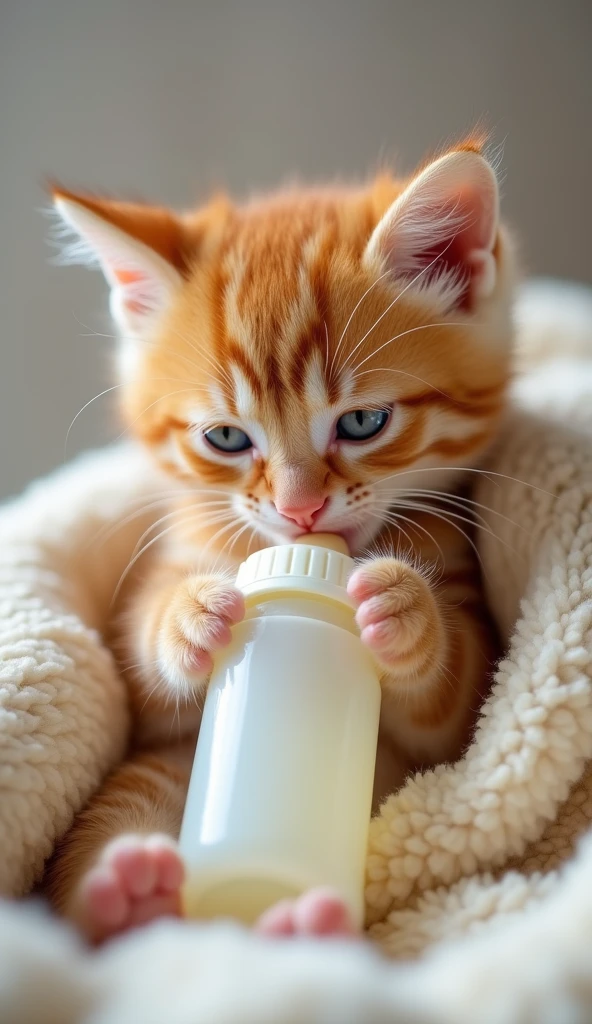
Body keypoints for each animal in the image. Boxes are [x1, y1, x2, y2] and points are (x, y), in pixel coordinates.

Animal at [43, 140, 510, 937]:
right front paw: (189, 616)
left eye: (363, 423)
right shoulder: (155, 690)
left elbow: (454, 701)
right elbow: (145, 661)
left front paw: (407, 614)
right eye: (227, 438)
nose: (301, 511)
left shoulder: (460, 660)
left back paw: (301, 922)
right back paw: (127, 888)